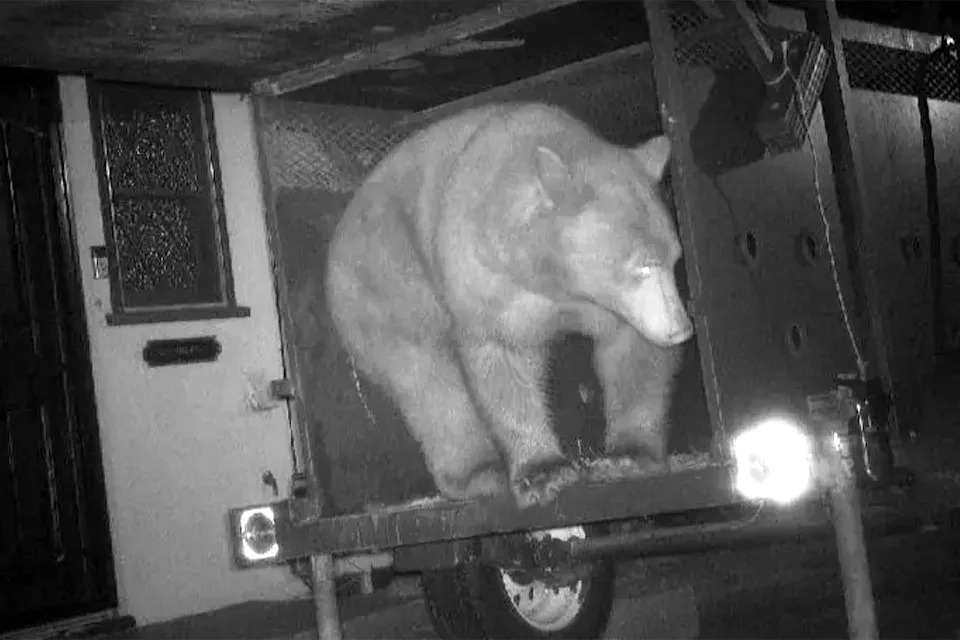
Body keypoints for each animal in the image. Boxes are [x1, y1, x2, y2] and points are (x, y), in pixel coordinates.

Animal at [325, 102, 693, 509]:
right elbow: (502, 360)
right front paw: (543, 472)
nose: (681, 329)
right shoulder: (485, 279)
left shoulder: (613, 307)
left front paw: (628, 455)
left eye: (675, 259)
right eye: (641, 266)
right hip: (386, 281)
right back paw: (478, 474)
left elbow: (634, 353)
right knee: (428, 381)